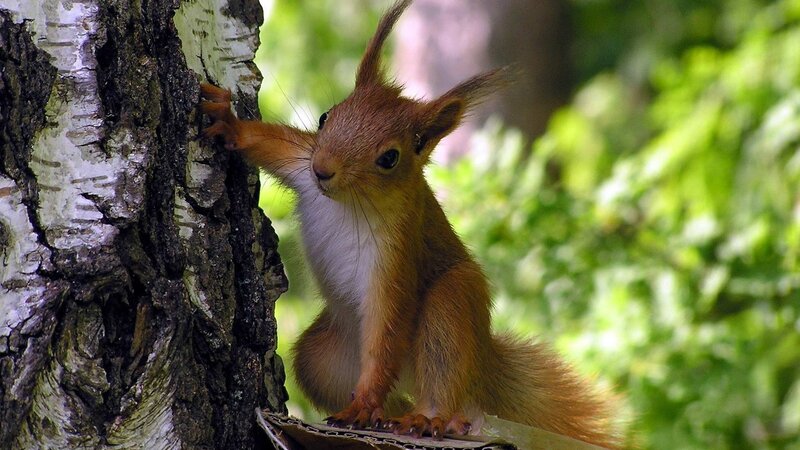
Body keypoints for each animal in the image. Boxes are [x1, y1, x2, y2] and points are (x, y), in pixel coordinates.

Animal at [200, 0, 619, 447]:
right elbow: (270, 143)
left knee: (444, 382)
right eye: (326, 117)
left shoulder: (397, 251)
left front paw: (365, 404)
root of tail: (482, 365)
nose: (323, 170)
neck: (348, 202)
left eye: (389, 158)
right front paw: (229, 123)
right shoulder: (300, 163)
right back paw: (386, 417)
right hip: (323, 357)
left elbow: (387, 326)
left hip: (451, 307)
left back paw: (430, 419)